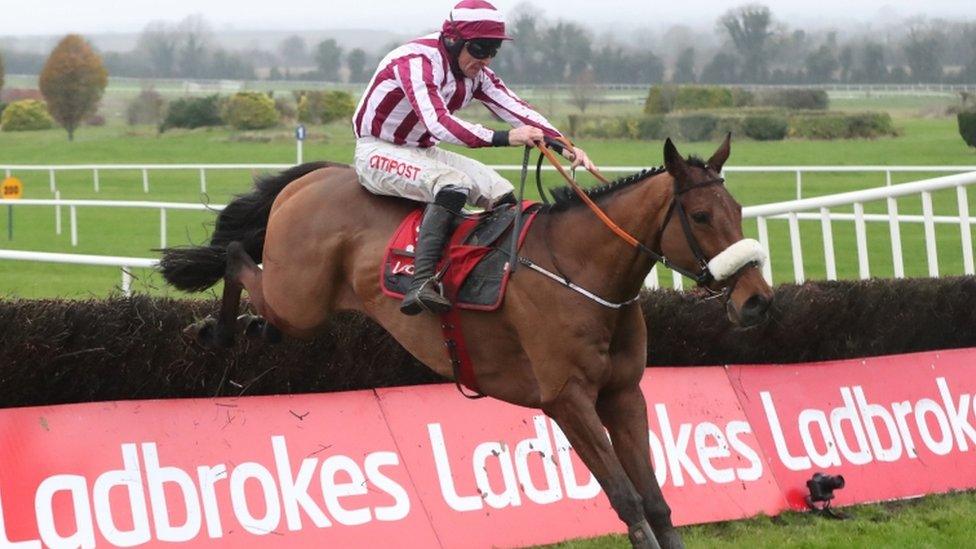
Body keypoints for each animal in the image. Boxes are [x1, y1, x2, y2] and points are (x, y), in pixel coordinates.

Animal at [158, 136, 772, 548]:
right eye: (700, 215)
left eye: (740, 211)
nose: (757, 301)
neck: (579, 271)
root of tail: (315, 176)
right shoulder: (566, 399)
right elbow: (627, 501)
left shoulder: (624, 394)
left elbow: (658, 502)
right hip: (297, 296)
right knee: (236, 254)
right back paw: (215, 329)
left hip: (300, 308)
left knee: (259, 297)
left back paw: (242, 329)